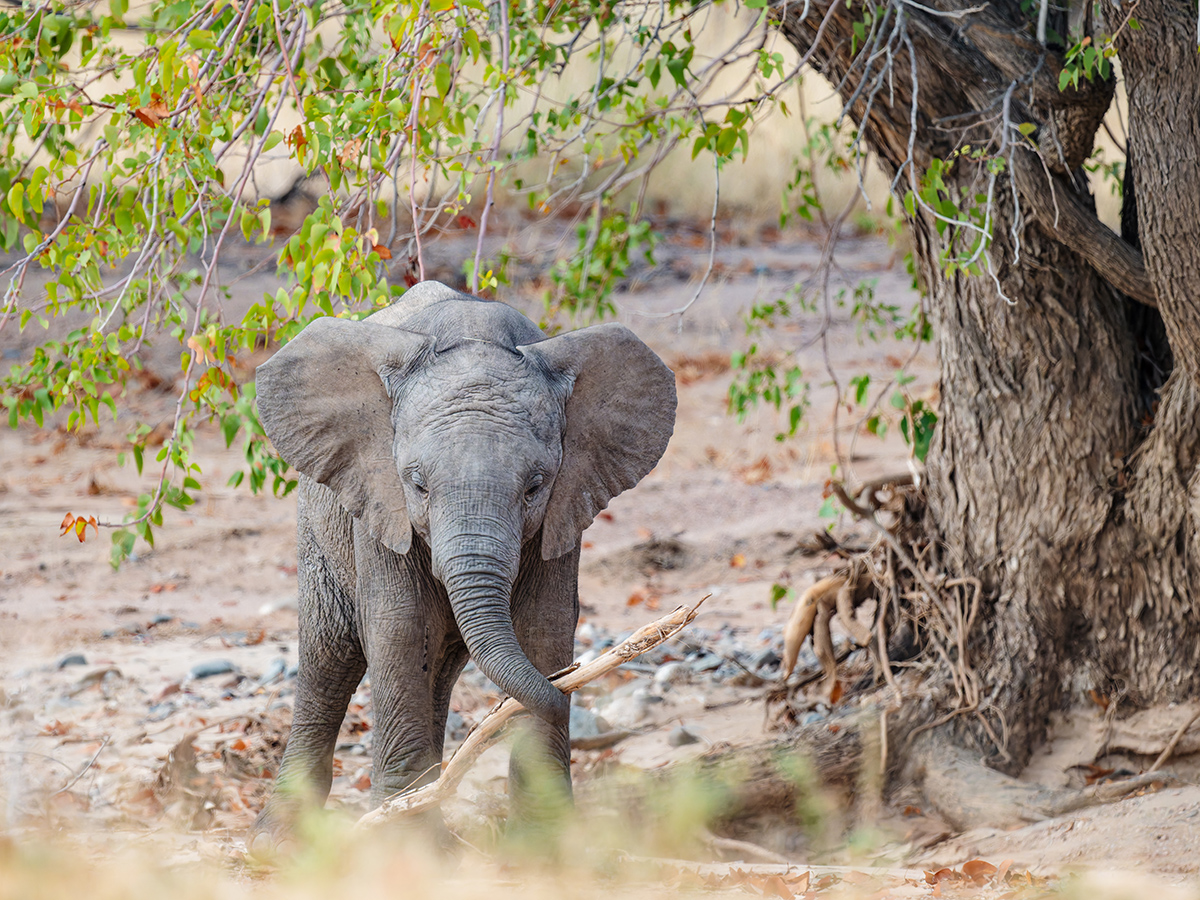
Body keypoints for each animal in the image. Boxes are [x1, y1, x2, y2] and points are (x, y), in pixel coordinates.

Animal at [247, 281, 676, 854]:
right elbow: (400, 626)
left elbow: (546, 624)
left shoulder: (564, 507)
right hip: (318, 530)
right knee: (329, 658)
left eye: (535, 486)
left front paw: (544, 847)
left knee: (439, 669)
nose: (568, 698)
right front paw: (402, 848)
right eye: (417, 484)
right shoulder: (381, 497)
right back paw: (276, 844)